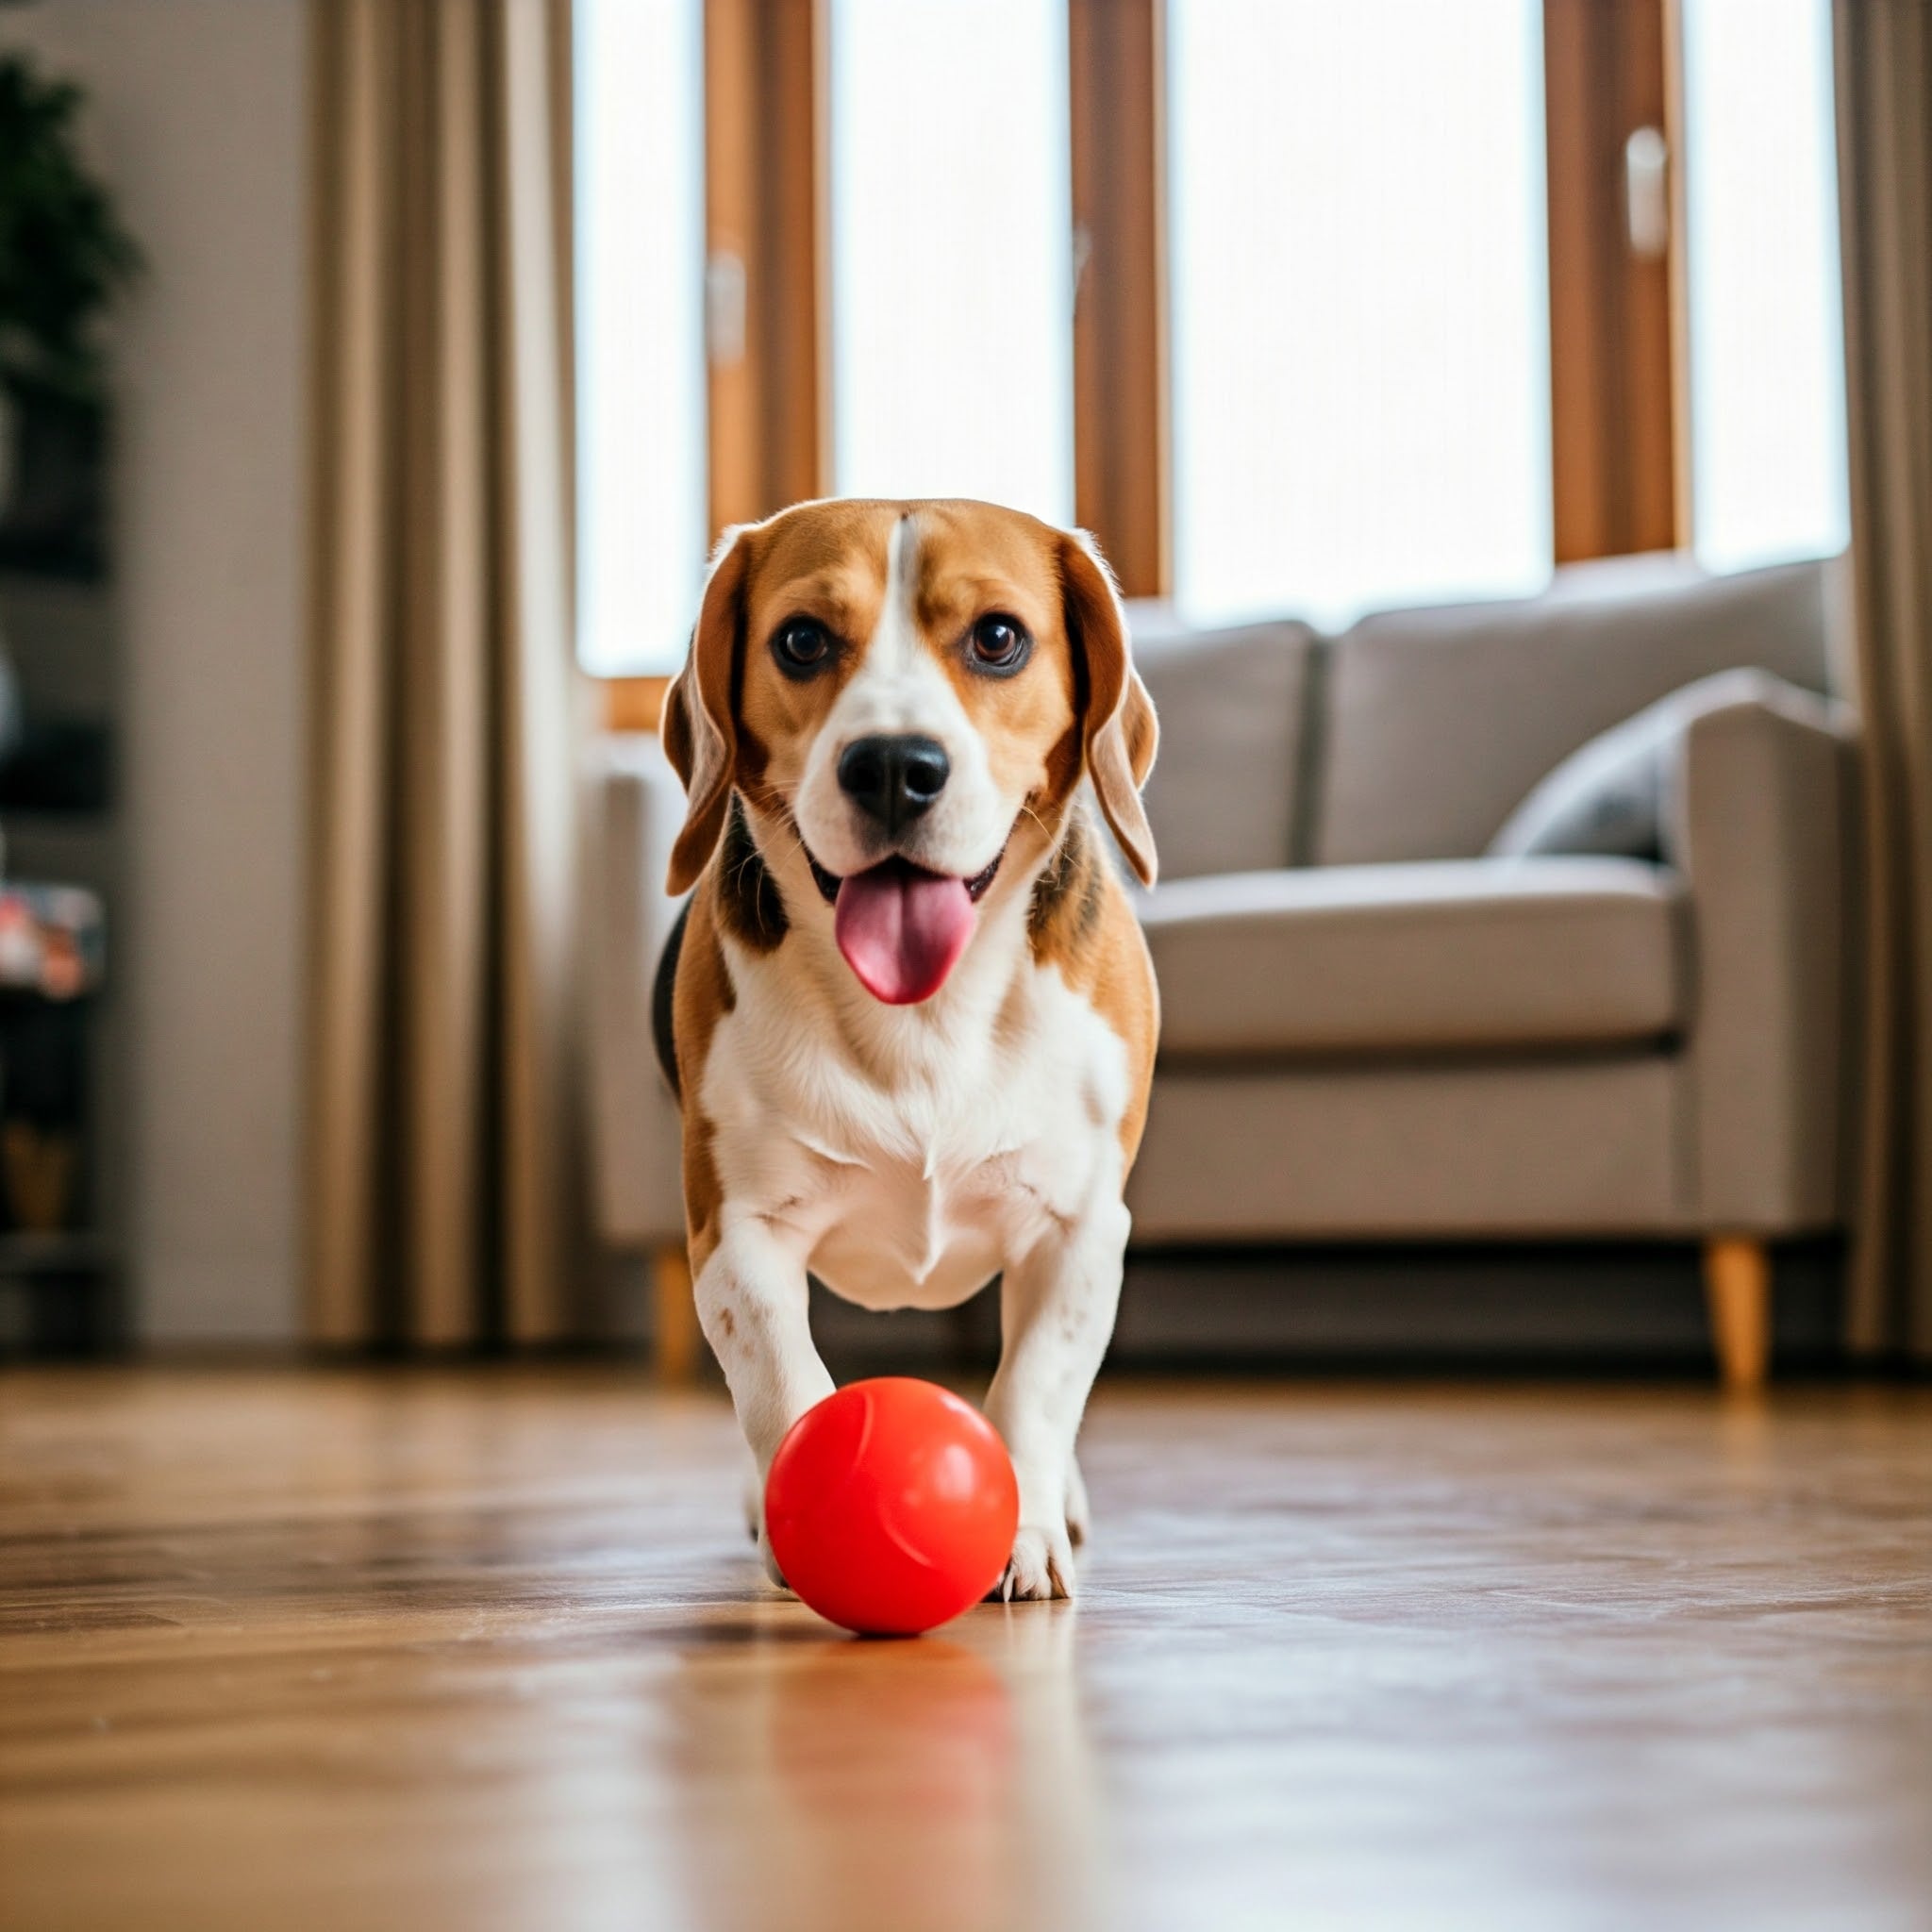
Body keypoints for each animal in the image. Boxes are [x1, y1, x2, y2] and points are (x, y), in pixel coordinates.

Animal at [657, 494, 1151, 1599]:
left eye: (998, 638)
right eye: (801, 641)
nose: (892, 766)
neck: (923, 1014)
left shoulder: (1079, 1228)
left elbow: (1034, 1387)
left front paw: (1022, 1531)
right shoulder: (735, 1233)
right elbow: (781, 1382)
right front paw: (799, 1512)